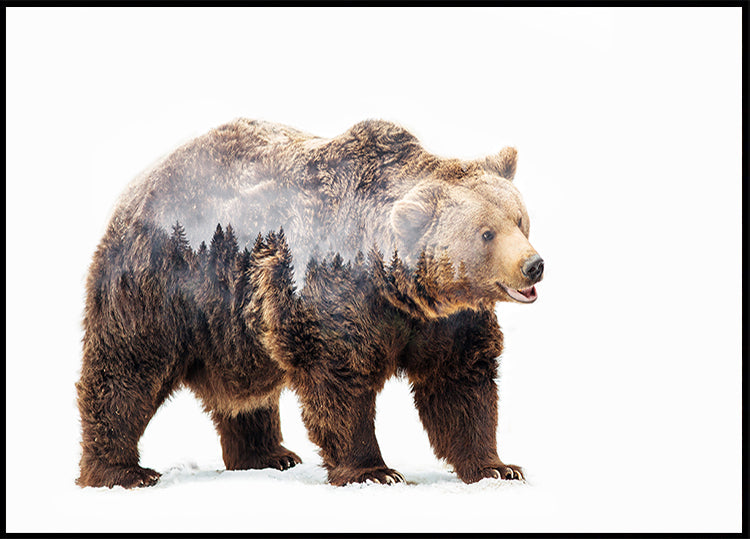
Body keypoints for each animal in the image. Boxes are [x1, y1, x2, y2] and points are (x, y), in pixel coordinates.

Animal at [76, 119, 544, 488]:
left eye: (519, 219)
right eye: (486, 233)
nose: (533, 265)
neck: (399, 289)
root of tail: (137, 185)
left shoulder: (445, 322)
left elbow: (460, 383)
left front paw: (498, 466)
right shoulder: (333, 293)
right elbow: (339, 378)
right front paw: (375, 471)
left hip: (232, 325)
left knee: (246, 392)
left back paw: (268, 455)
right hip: (161, 282)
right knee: (128, 368)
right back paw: (122, 471)